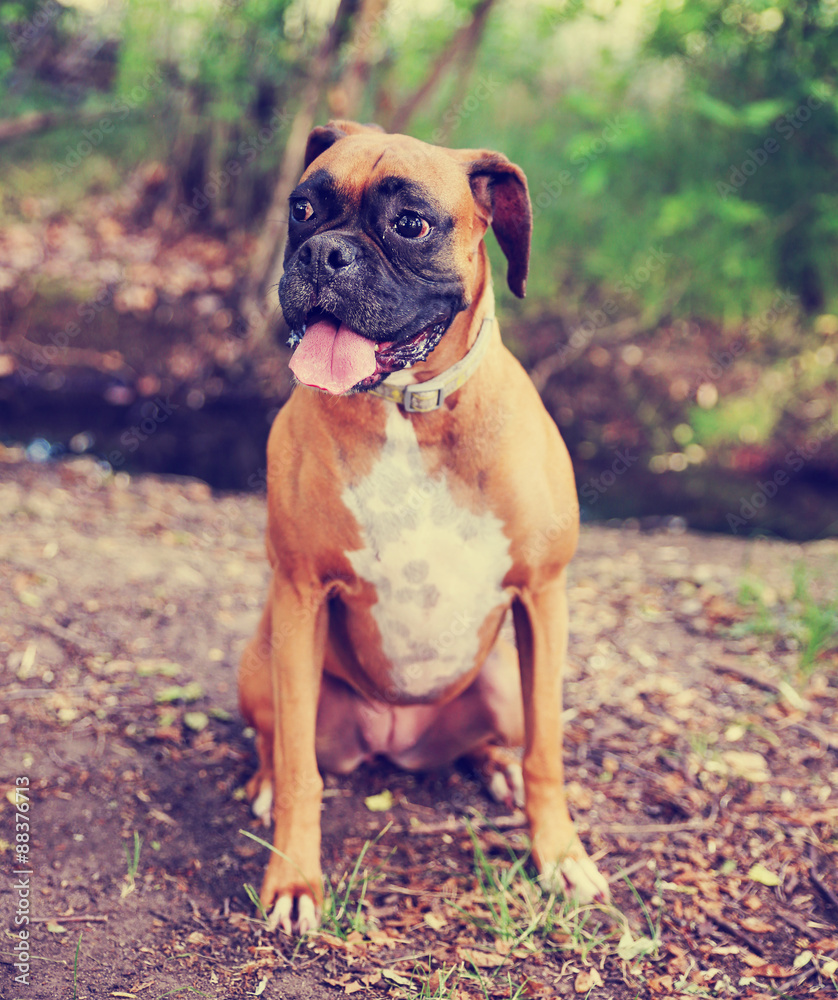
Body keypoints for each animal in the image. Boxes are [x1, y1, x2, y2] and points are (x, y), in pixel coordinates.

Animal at [238, 121, 612, 932]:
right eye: (303, 209)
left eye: (410, 224)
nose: (325, 254)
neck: (408, 411)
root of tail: (394, 742)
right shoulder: (300, 593)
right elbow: (300, 772)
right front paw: (293, 880)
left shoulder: (543, 596)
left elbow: (548, 751)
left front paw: (560, 856)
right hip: (262, 660)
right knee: (277, 743)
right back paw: (261, 781)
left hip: (503, 680)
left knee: (506, 739)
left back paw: (497, 769)